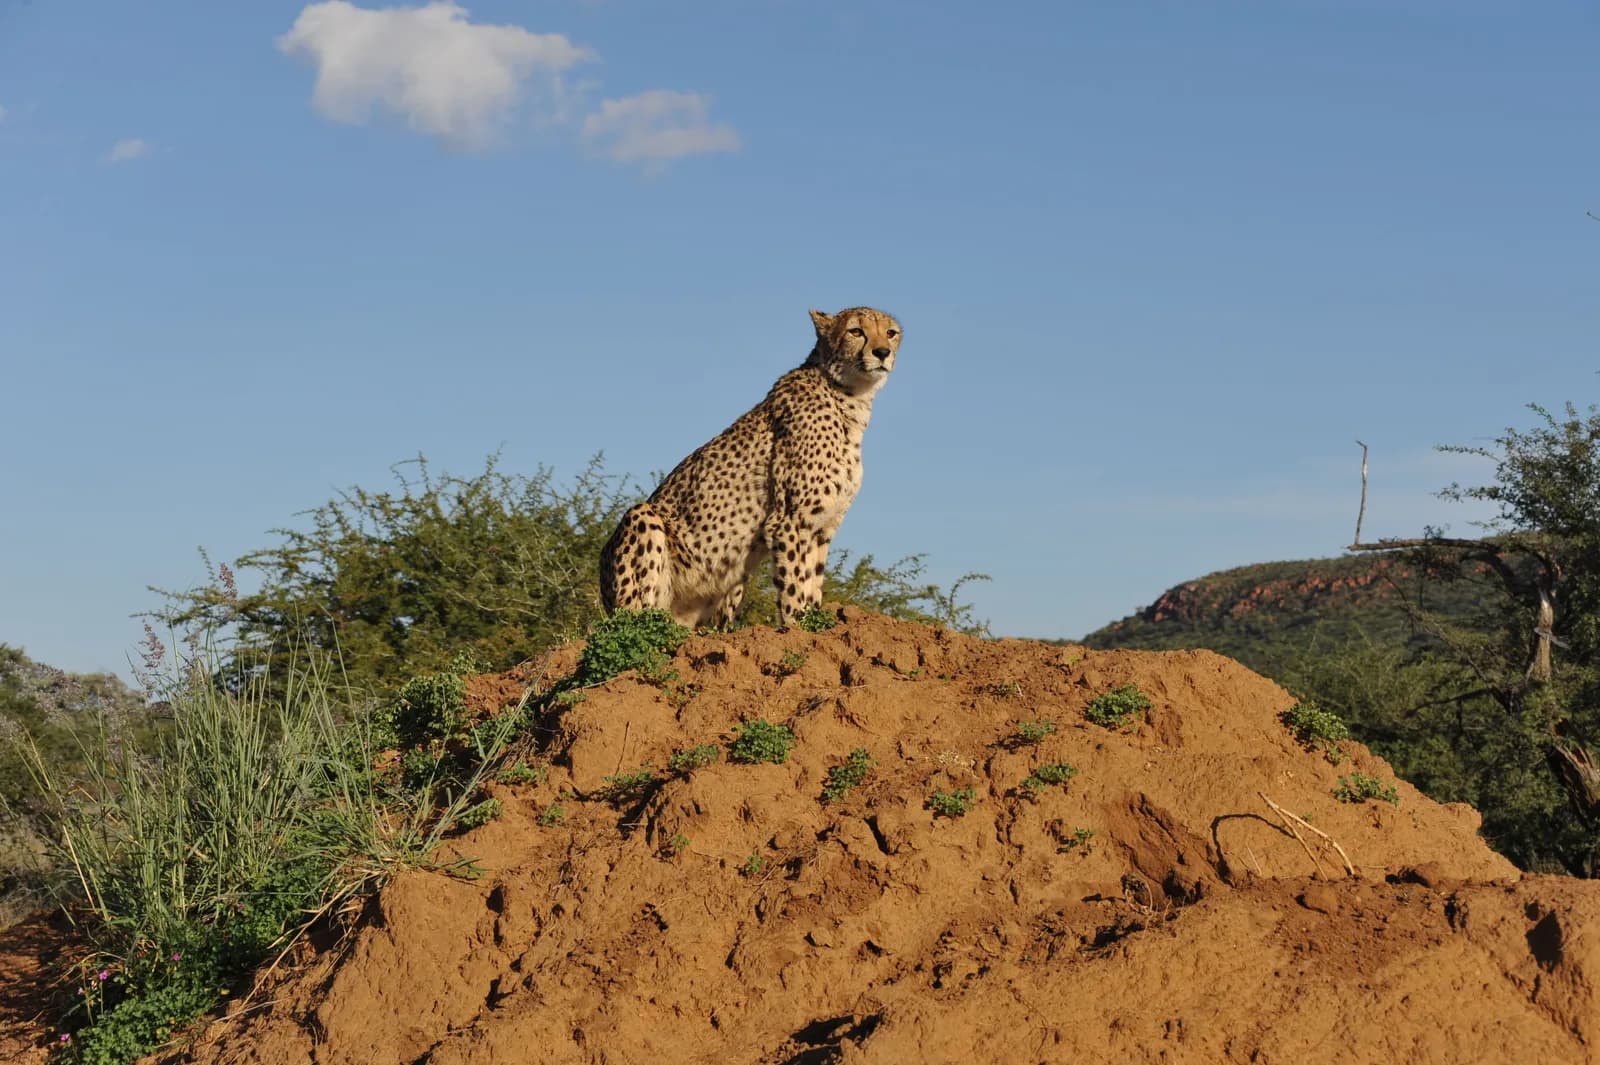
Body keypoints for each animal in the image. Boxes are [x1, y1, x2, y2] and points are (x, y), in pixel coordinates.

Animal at [599, 305, 902, 630]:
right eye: (856, 331)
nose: (882, 352)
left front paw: (815, 623)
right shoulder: (788, 522)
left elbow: (812, 586)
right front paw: (794, 627)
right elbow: (794, 588)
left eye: (891, 333)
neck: (849, 398)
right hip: (643, 522)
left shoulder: (822, 528)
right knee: (639, 620)